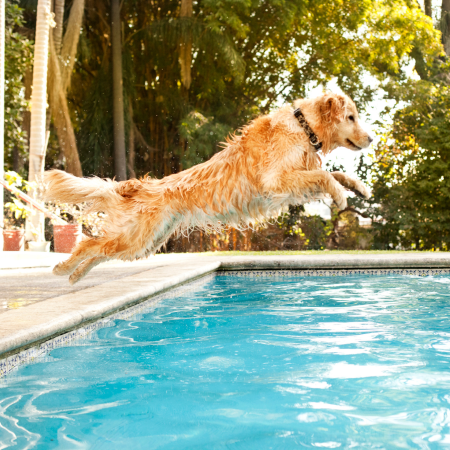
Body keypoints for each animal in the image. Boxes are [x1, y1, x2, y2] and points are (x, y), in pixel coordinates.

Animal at [44, 90, 370, 284]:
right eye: (351, 117)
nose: (370, 139)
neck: (304, 127)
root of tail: (140, 186)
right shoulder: (276, 180)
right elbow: (325, 176)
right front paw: (341, 196)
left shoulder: (296, 180)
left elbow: (333, 172)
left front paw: (359, 188)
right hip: (136, 238)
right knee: (88, 244)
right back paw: (63, 269)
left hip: (143, 243)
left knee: (100, 250)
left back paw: (75, 275)